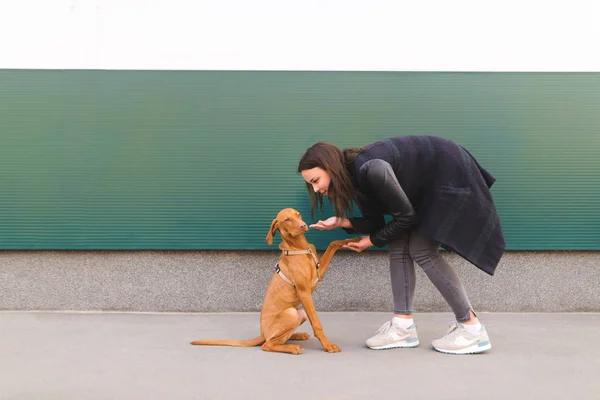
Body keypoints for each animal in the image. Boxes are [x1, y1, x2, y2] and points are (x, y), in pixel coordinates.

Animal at [190, 208, 354, 354]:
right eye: (286, 220)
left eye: (298, 214)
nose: (303, 225)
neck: (300, 247)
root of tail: (262, 333)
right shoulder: (304, 292)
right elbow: (317, 323)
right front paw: (327, 345)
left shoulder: (318, 274)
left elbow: (333, 243)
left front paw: (353, 240)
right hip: (291, 313)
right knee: (268, 344)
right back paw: (292, 347)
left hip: (300, 312)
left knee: (279, 338)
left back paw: (297, 335)